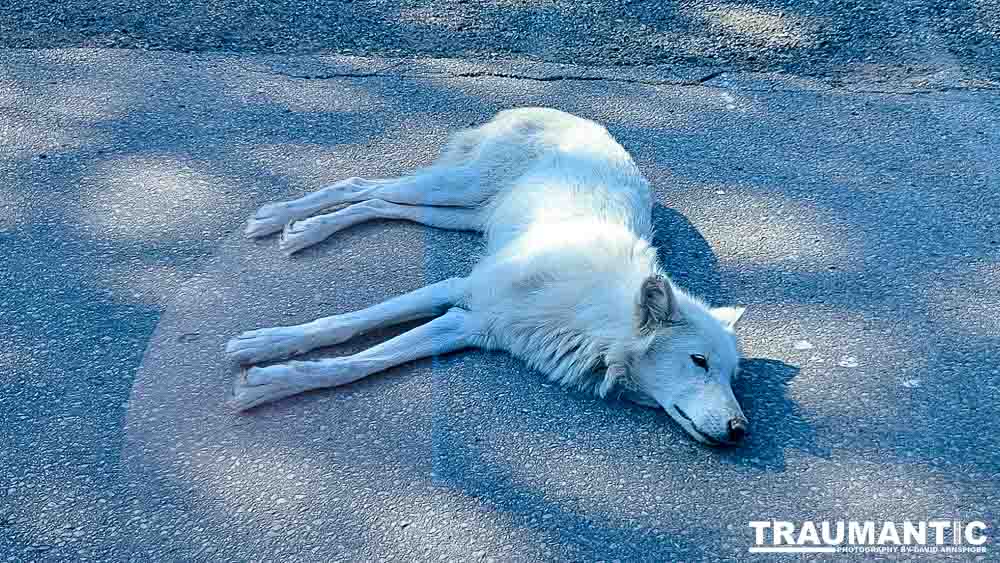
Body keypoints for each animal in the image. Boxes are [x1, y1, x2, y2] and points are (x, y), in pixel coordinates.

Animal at [227, 108, 752, 448]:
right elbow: (345, 328)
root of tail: (552, 109)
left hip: (457, 214)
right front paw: (263, 354)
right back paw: (283, 221)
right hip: (452, 190)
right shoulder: (458, 290)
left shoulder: (466, 325)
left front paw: (270, 378)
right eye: (699, 361)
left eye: (731, 377)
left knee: (378, 203)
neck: (596, 317)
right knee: (360, 185)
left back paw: (304, 228)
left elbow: (361, 362)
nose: (740, 431)